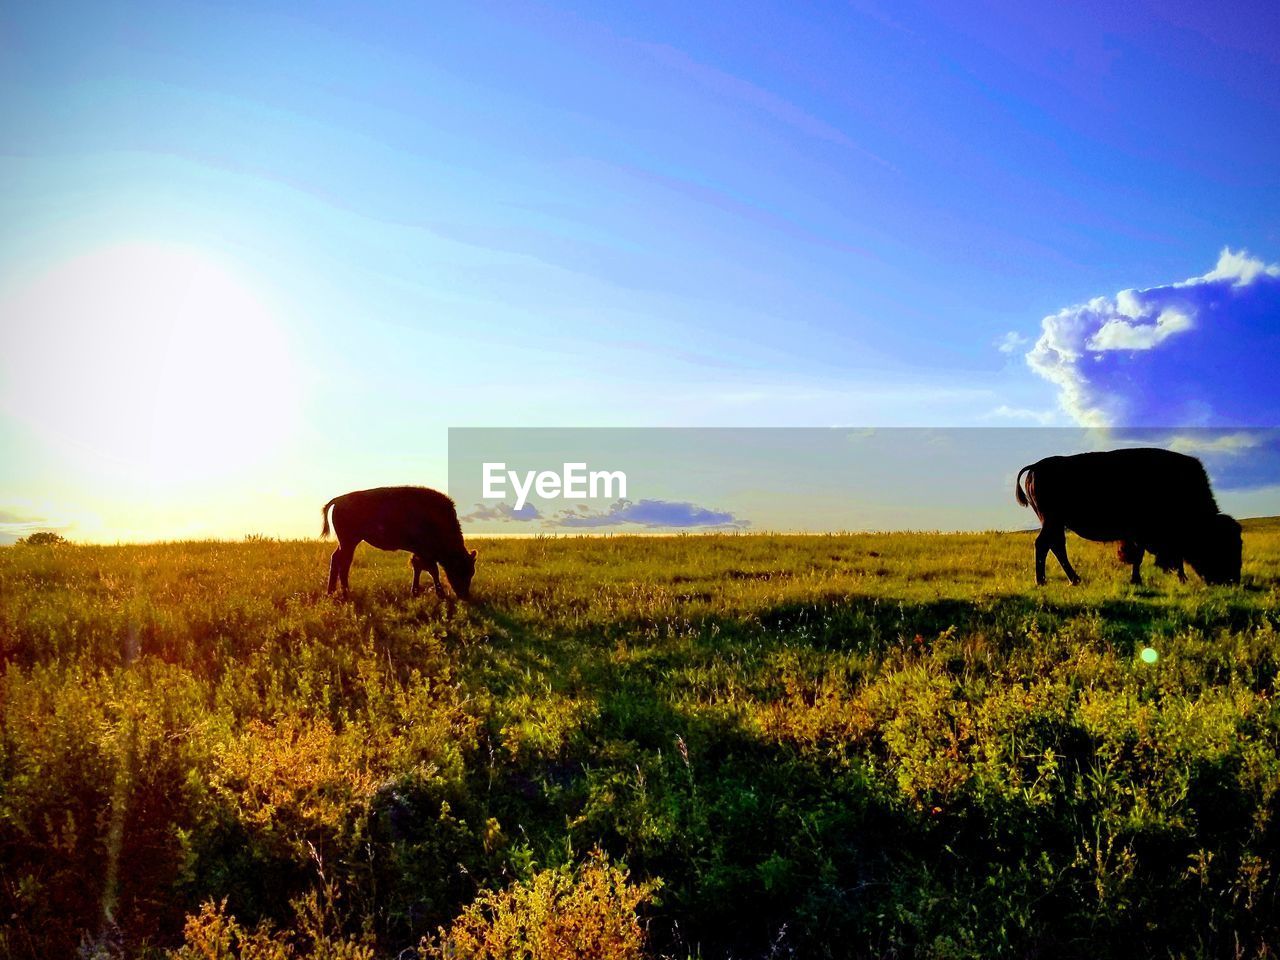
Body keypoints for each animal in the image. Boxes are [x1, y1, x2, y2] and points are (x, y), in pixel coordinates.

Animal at [322, 488, 478, 601]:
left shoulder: (419, 552)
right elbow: (433, 570)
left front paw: (415, 592)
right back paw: (345, 594)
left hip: (346, 543)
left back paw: (331, 593)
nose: (465, 596)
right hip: (349, 542)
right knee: (344, 563)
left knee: (336, 559)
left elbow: (419, 567)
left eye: (471, 572)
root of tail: (339, 500)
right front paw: (440, 594)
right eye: (461, 570)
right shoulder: (425, 552)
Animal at [1013, 450, 1233, 586]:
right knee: (1045, 544)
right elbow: (1142, 556)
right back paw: (1047, 581)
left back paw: (1071, 579)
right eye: (1219, 543)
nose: (1230, 580)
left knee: (1055, 545)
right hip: (1052, 521)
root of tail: (1036, 466)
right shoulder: (1145, 532)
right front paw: (1139, 579)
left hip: (1054, 522)